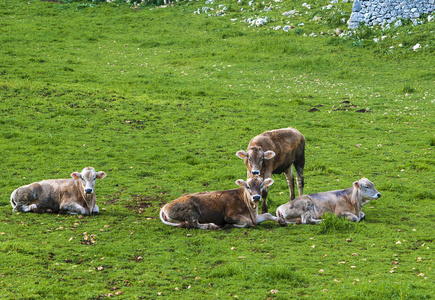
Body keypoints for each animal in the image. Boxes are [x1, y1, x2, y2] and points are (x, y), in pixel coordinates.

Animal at [158, 176, 288, 230]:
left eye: (261, 185)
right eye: (248, 186)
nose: (256, 197)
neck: (251, 209)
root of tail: (165, 206)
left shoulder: (255, 217)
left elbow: (267, 215)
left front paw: (281, 220)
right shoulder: (230, 216)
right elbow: (249, 223)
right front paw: (228, 225)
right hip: (191, 211)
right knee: (192, 224)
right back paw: (211, 226)